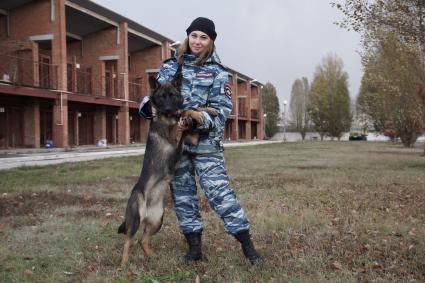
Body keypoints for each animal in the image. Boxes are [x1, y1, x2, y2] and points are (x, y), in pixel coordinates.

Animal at [117, 74, 214, 266]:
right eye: (162, 97)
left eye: (173, 95)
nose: (169, 109)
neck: (168, 117)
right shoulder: (174, 135)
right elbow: (186, 111)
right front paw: (195, 113)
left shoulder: (190, 137)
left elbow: (192, 108)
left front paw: (208, 110)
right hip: (135, 218)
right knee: (128, 240)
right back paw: (124, 263)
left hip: (157, 221)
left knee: (142, 240)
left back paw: (153, 257)